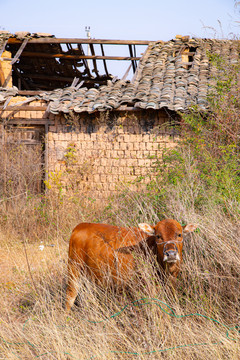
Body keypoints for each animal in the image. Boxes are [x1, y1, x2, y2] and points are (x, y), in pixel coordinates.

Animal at [65, 218, 197, 314]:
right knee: (70, 298)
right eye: (158, 236)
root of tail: (80, 226)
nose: (171, 254)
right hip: (74, 270)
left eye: (179, 234)